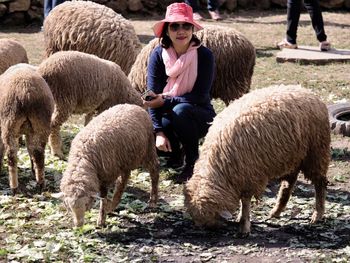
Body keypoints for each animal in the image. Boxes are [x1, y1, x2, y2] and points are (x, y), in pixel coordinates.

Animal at [0, 64, 53, 196]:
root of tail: (25, 91)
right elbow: (30, 150)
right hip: (41, 125)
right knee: (39, 154)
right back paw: (40, 184)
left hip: (9, 124)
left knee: (12, 156)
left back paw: (14, 187)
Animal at [183, 85, 330, 237]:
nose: (208, 230)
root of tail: (306, 91)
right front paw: (241, 218)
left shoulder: (249, 176)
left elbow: (246, 201)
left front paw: (244, 225)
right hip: (292, 156)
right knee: (289, 183)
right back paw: (276, 211)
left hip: (316, 152)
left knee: (320, 183)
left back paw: (317, 214)